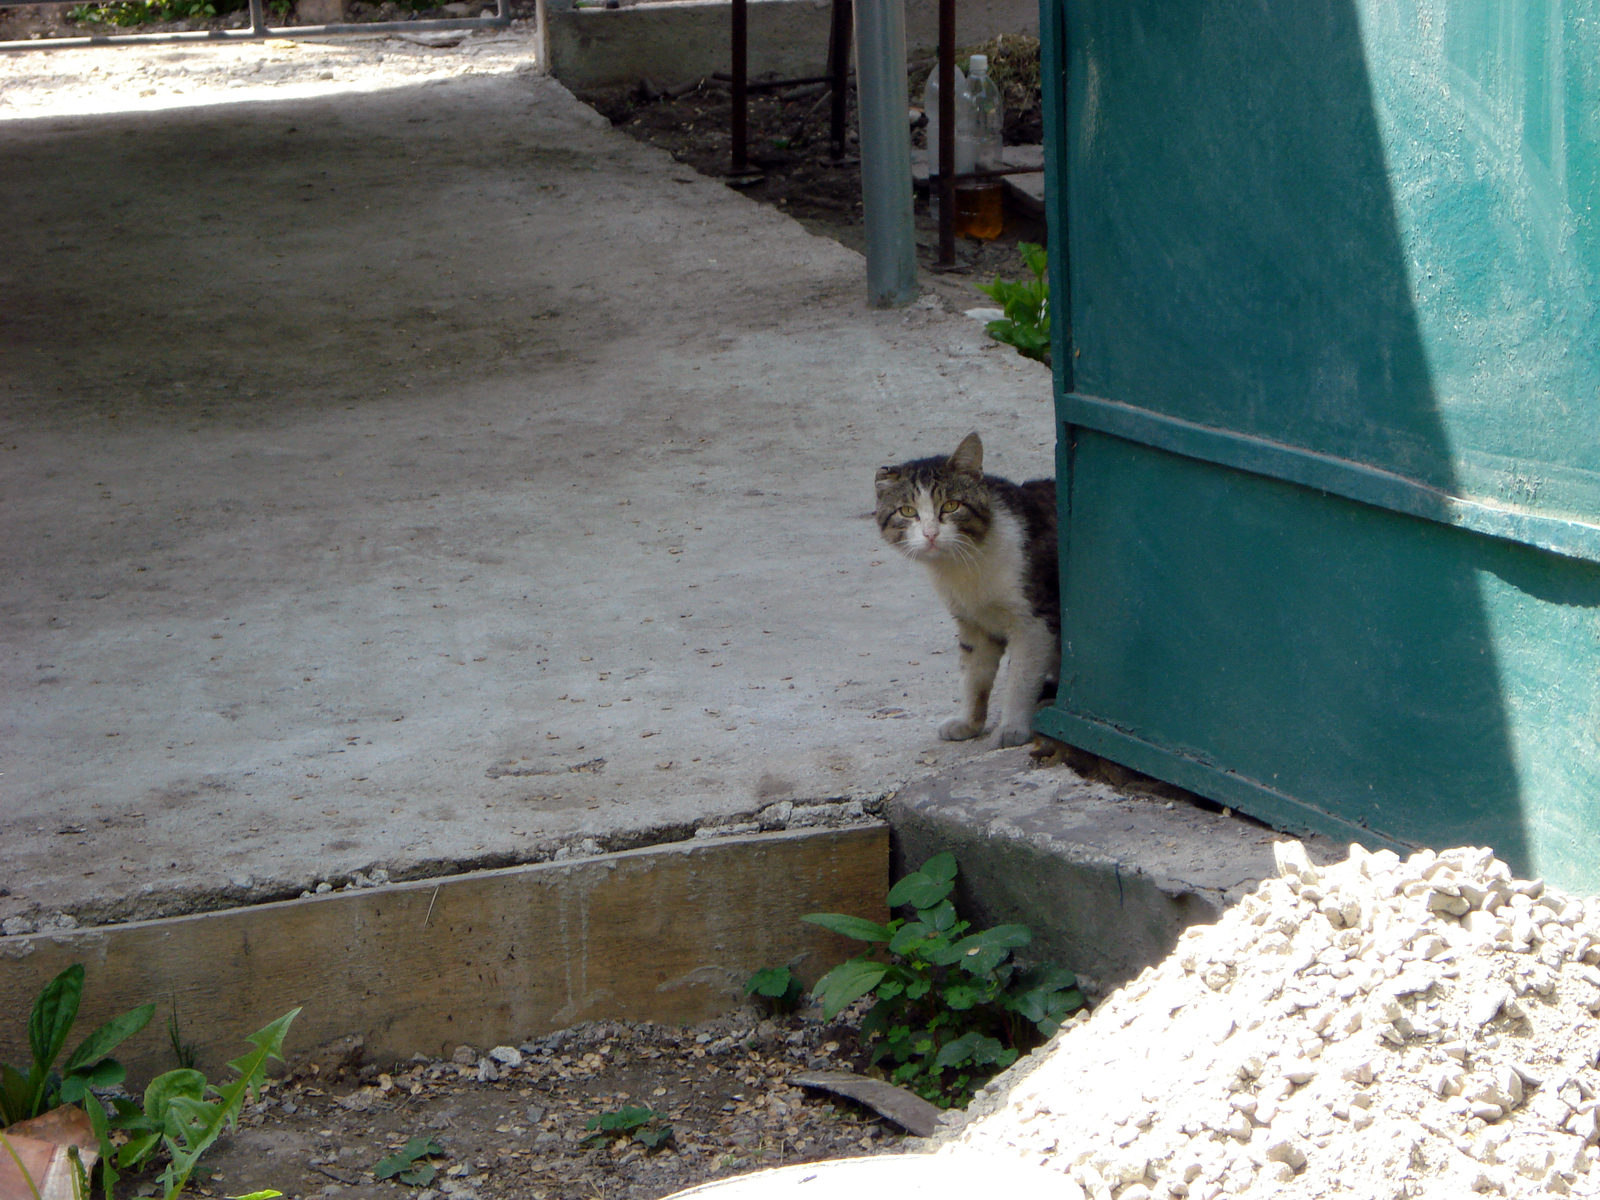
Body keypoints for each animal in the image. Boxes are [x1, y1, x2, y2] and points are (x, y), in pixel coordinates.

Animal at [870, 432, 1056, 752]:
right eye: (907, 511)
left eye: (951, 506)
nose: (931, 534)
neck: (965, 567)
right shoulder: (973, 623)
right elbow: (973, 677)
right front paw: (968, 722)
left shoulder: (1034, 621)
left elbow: (1021, 678)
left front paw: (1011, 728)